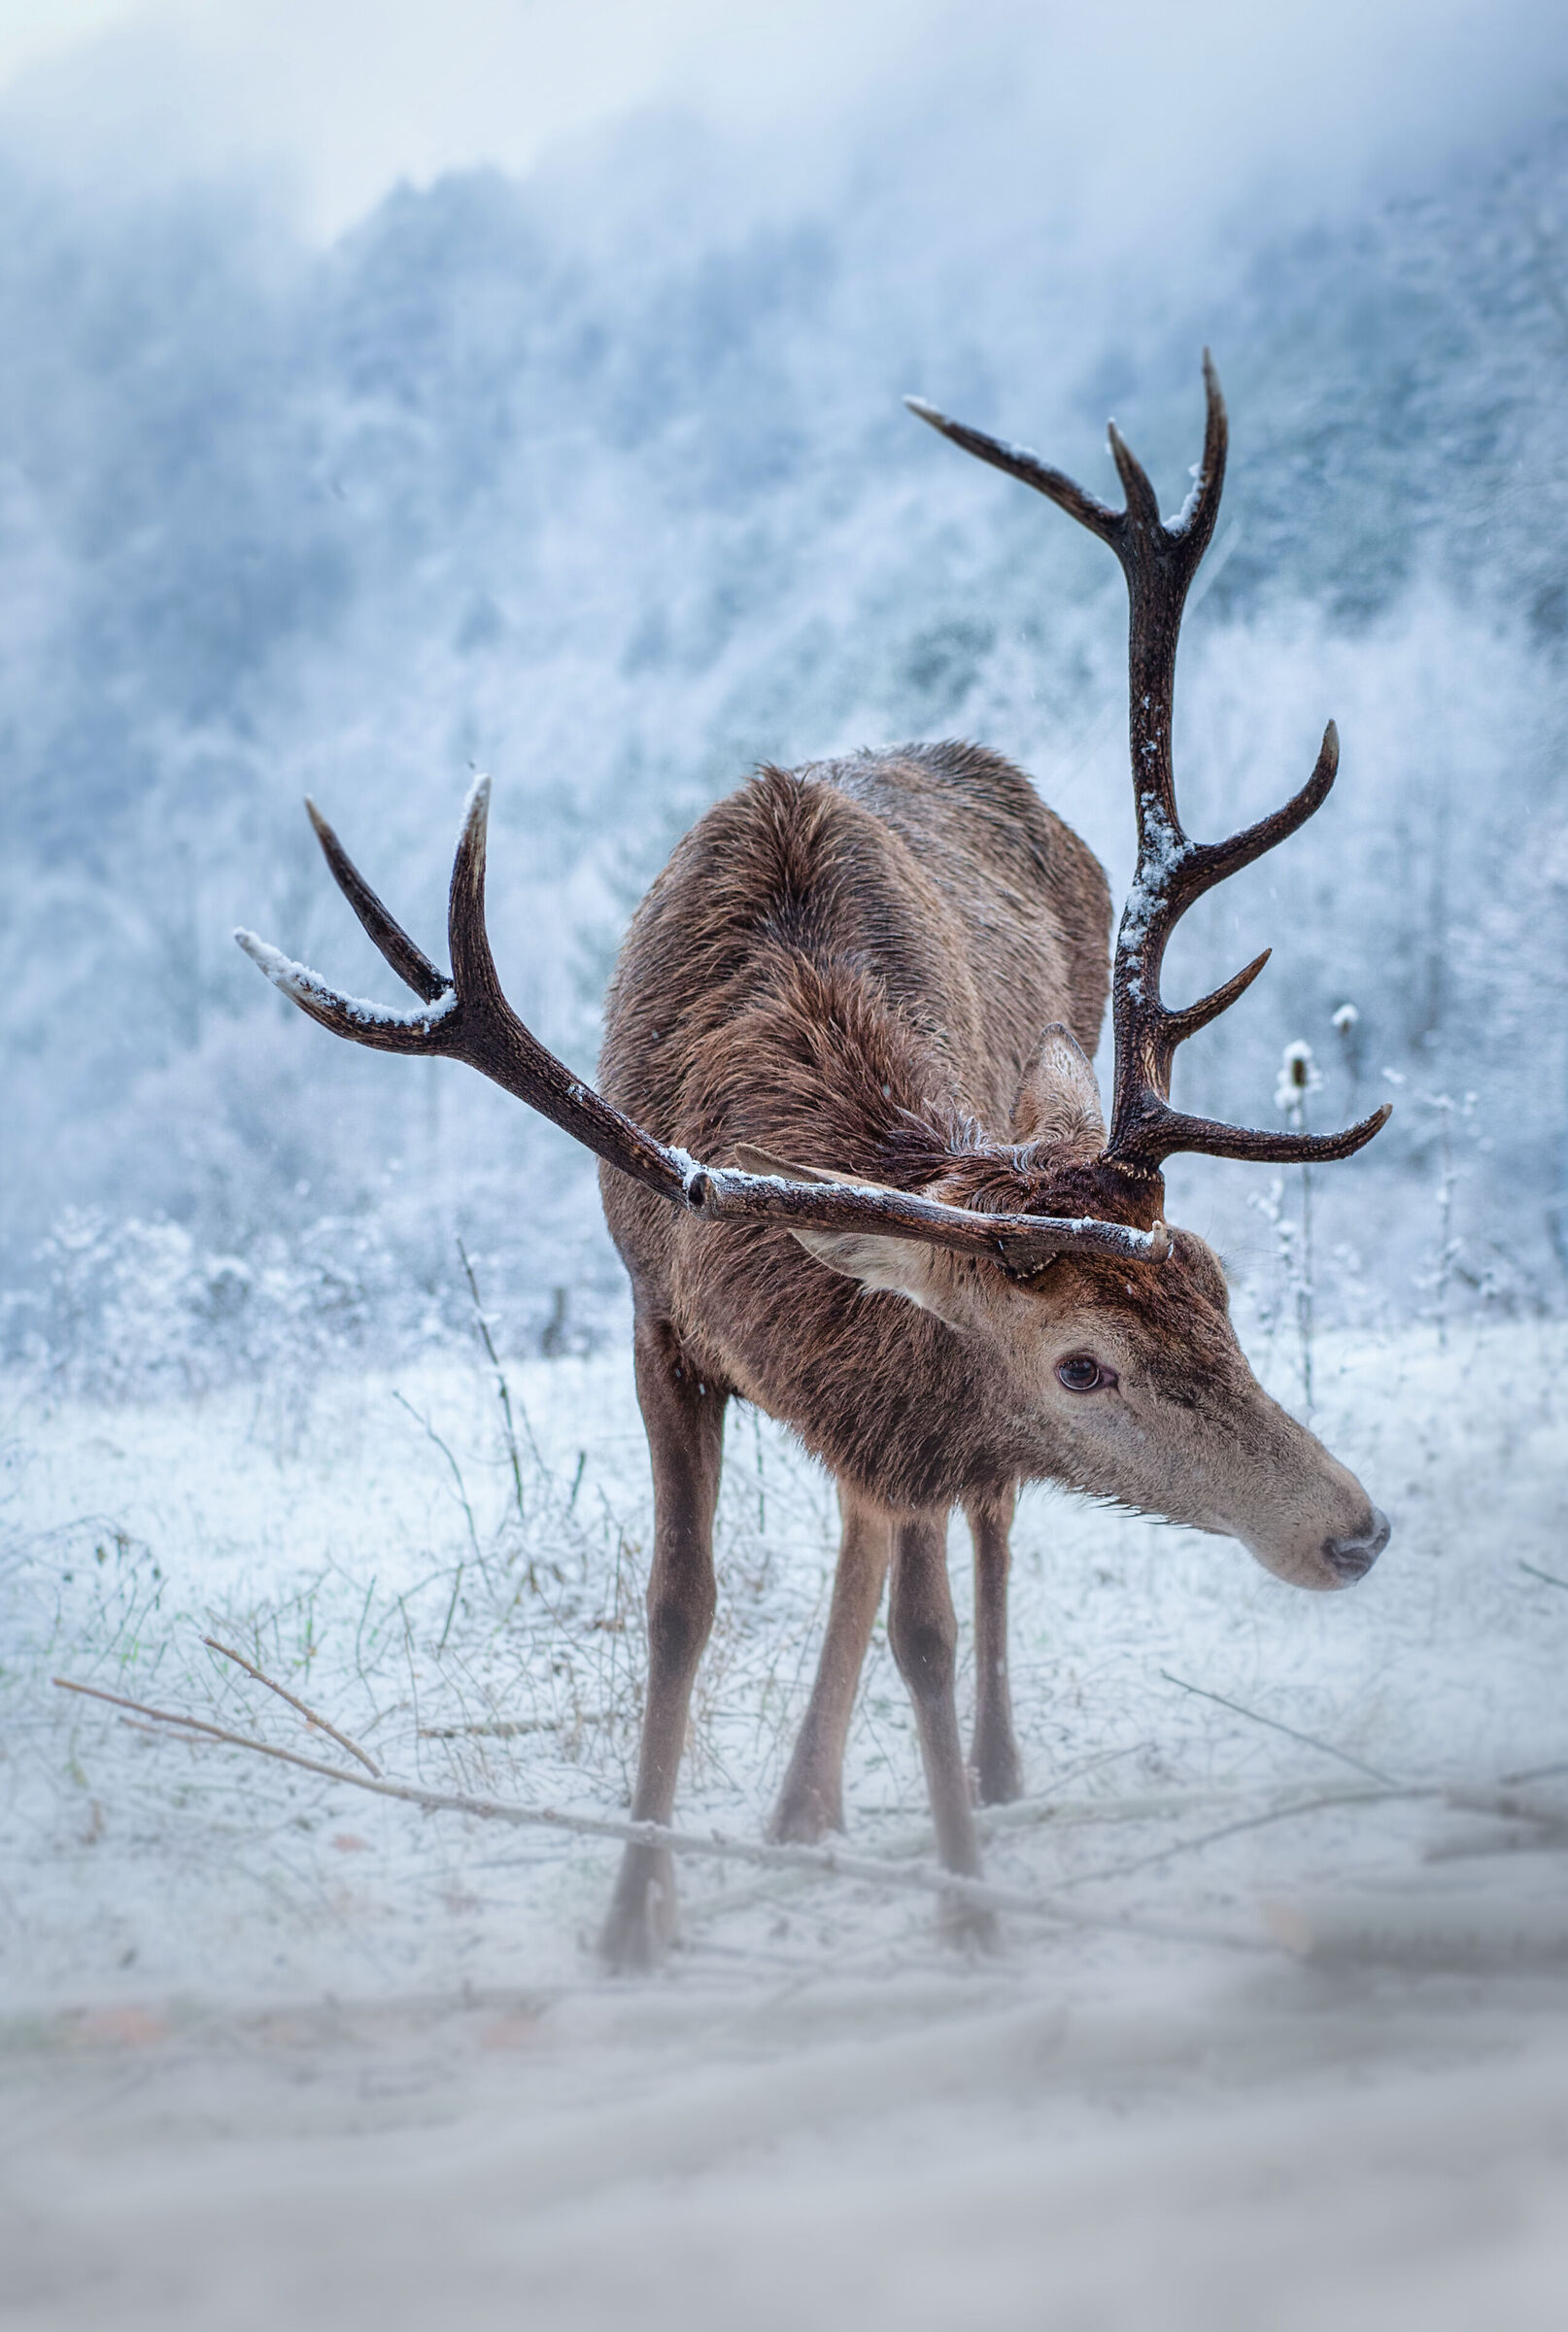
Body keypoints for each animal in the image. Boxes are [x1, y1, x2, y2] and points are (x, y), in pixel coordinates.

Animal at [238, 356, 1391, 1970]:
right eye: (1080, 1365)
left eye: (1215, 1287)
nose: (1352, 1527)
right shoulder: (656, 1312)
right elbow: (679, 1603)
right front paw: (632, 1915)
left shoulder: (918, 1372)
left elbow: (924, 1617)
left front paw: (967, 1903)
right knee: (873, 1518)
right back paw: (801, 1805)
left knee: (970, 1526)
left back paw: (984, 1769)